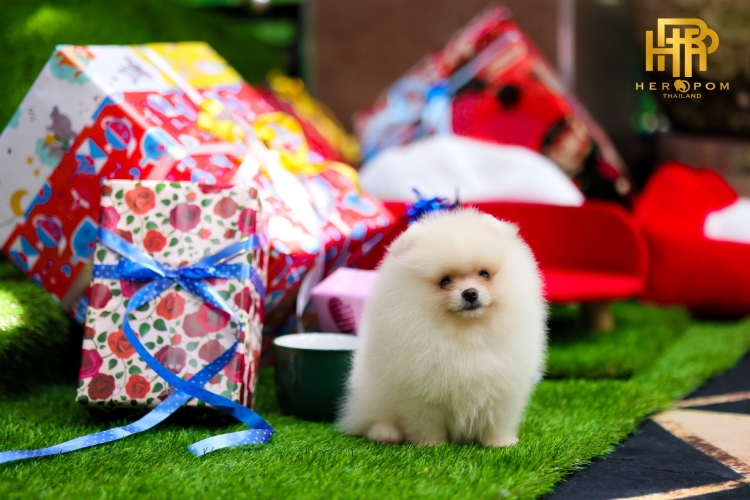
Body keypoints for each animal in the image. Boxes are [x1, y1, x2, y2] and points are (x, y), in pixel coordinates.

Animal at [338, 209, 547, 447]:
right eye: (445, 281)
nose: (470, 293)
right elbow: (427, 423)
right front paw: (431, 445)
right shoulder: (421, 393)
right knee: (371, 420)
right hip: (371, 394)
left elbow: (498, 420)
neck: (467, 333)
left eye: (484, 274)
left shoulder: (504, 389)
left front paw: (501, 443)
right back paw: (386, 433)